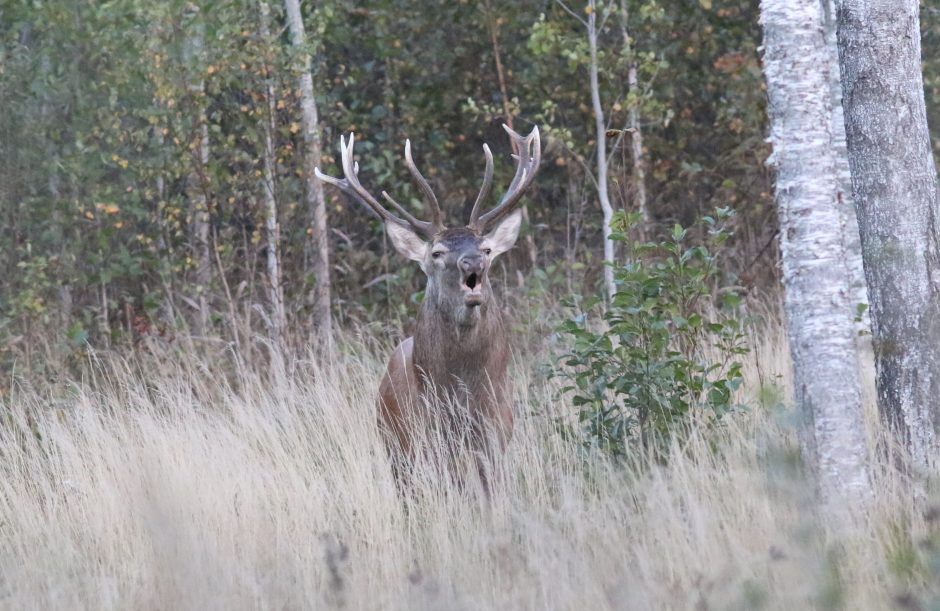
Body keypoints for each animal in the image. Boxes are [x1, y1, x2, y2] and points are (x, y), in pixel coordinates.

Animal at [316, 125, 540, 498]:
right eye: (436, 252)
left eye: (486, 248)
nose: (472, 262)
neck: (462, 395)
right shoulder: (424, 441)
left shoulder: (495, 438)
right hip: (396, 449)